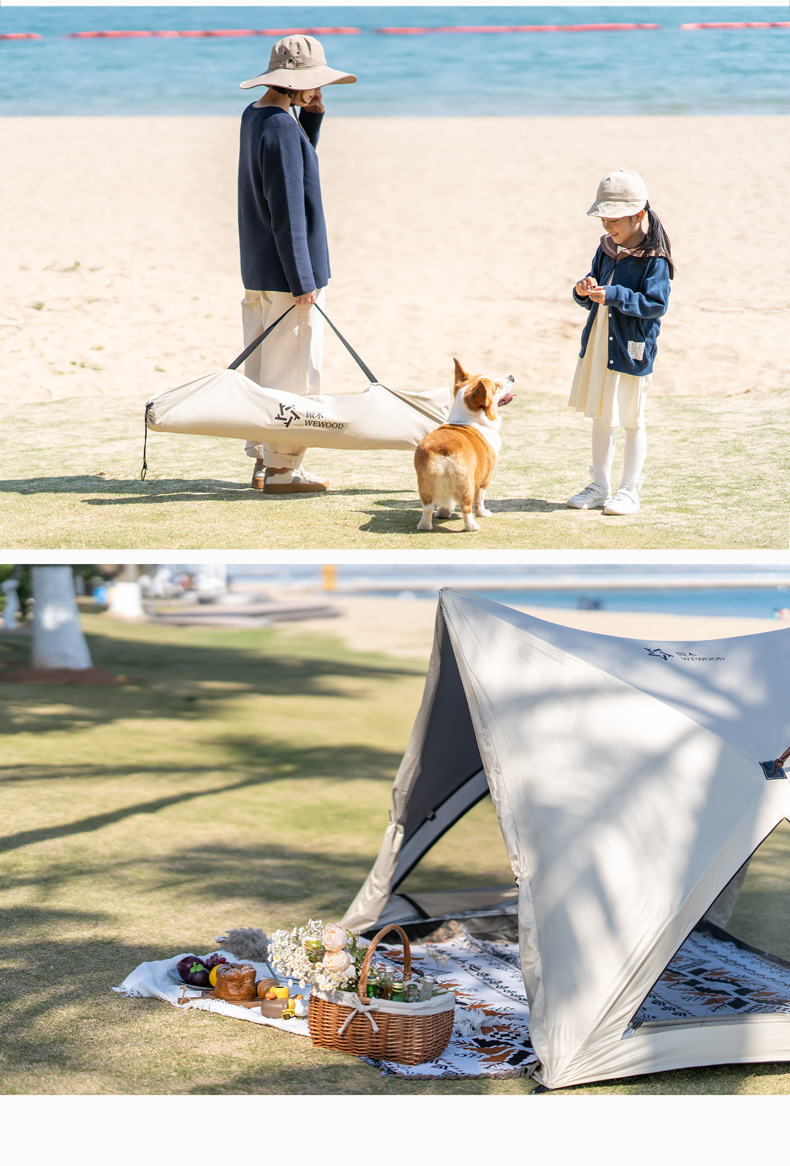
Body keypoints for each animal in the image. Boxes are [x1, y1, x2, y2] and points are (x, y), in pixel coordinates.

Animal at [412, 359, 517, 534]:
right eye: (496, 386)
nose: (512, 376)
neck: (465, 418)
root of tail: (443, 450)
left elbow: (445, 504)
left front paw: (443, 514)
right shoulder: (485, 478)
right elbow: (480, 499)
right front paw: (483, 513)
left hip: (425, 484)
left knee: (427, 507)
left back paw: (424, 526)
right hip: (466, 483)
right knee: (466, 507)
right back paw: (472, 527)